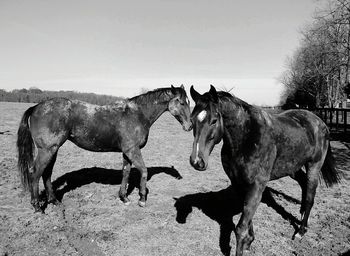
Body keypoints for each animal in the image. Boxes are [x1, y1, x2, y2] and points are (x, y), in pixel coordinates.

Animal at [17, 84, 191, 212]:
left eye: (189, 102)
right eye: (182, 102)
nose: (189, 126)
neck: (137, 114)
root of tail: (36, 107)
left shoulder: (126, 152)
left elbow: (126, 173)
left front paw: (124, 198)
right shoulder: (133, 150)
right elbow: (144, 171)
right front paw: (142, 199)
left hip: (53, 150)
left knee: (46, 174)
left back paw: (54, 201)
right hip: (47, 150)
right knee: (35, 173)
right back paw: (37, 206)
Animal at [189, 85, 340, 256]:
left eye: (214, 120)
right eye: (192, 120)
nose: (197, 161)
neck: (246, 137)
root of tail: (319, 122)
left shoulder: (256, 186)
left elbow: (240, 228)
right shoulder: (239, 185)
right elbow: (247, 217)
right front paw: (249, 241)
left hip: (314, 166)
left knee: (309, 197)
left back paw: (300, 231)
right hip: (292, 168)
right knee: (304, 186)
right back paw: (302, 218)